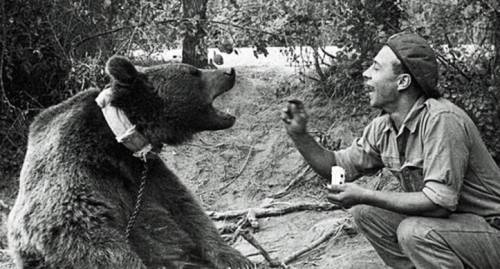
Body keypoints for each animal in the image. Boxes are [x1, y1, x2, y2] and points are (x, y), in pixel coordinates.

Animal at [7, 55, 256, 268]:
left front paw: (236, 258)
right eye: (193, 72)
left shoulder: (146, 171)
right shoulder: (75, 169)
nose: (229, 71)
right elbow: (80, 228)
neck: (120, 139)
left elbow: (185, 208)